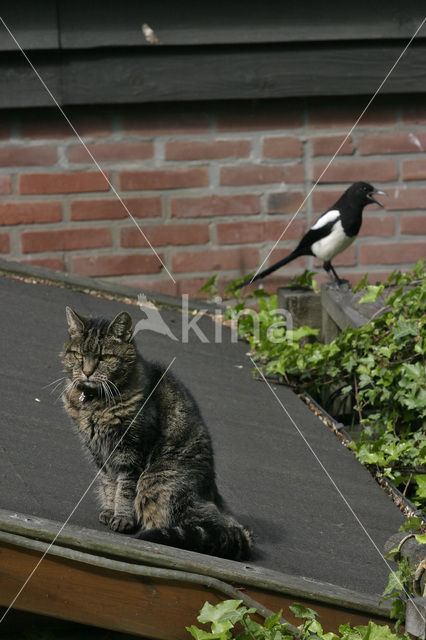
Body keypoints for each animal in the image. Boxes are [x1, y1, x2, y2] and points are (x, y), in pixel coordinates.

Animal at [61, 306, 251, 560]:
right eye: (79, 355)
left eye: (104, 358)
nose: (87, 372)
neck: (94, 405)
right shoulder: (101, 455)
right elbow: (109, 484)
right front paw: (109, 511)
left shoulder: (131, 452)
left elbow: (125, 489)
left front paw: (122, 518)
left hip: (156, 483)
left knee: (220, 525)